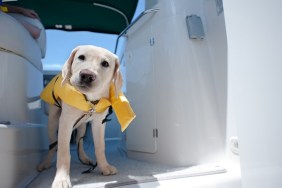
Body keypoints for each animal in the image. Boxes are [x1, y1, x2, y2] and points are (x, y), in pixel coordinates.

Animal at [37, 45, 121, 188]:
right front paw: (61, 179)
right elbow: (64, 152)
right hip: (52, 122)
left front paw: (104, 167)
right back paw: (45, 163)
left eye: (105, 64)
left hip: (82, 126)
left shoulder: (99, 123)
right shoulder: (66, 121)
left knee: (79, 141)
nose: (87, 75)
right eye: (81, 57)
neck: (89, 100)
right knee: (53, 144)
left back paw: (84, 158)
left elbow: (100, 147)